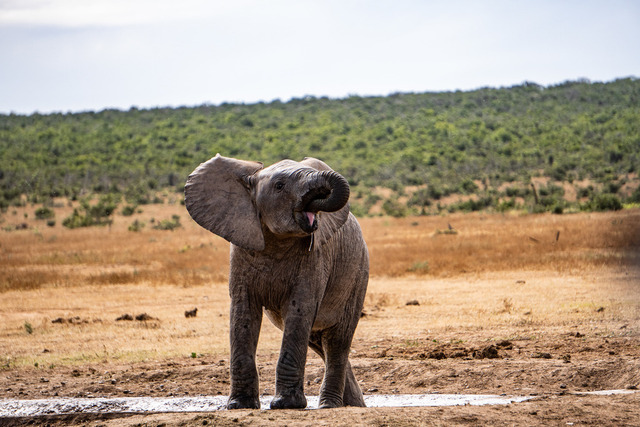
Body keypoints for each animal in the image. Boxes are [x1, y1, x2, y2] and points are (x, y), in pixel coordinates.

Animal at [184, 154, 369, 410]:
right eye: (279, 186)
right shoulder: (241, 249)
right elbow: (243, 312)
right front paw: (240, 405)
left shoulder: (315, 258)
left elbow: (300, 310)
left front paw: (286, 404)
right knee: (319, 342)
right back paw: (353, 405)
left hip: (358, 273)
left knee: (337, 342)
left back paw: (330, 405)